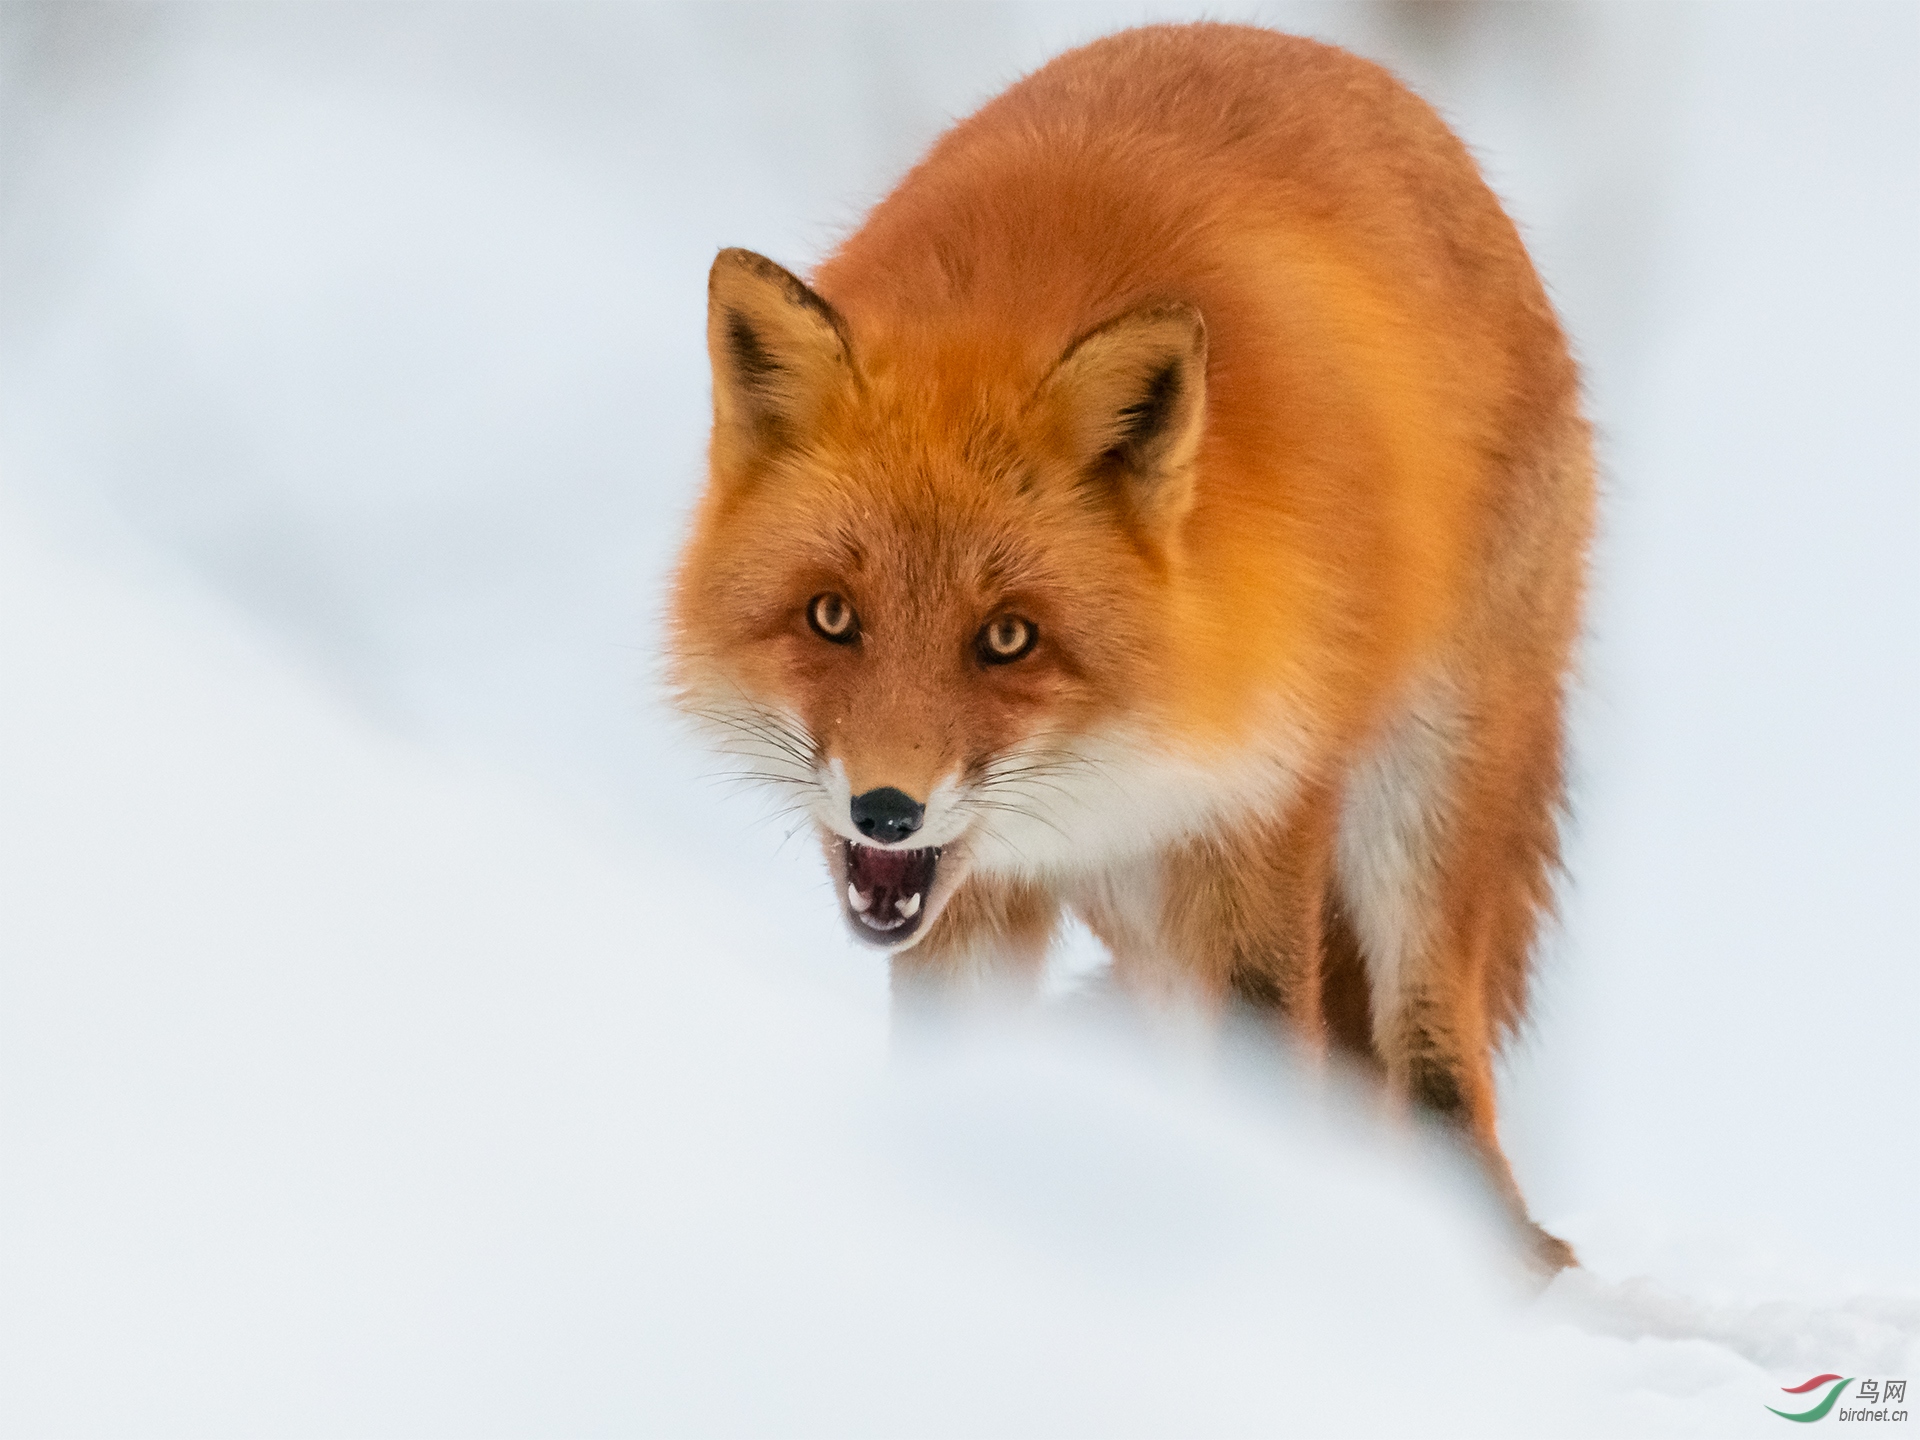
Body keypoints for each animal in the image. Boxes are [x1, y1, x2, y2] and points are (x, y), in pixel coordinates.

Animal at [668, 16, 1597, 1267]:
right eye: (831, 617)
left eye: (1009, 637)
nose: (886, 811)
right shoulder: (976, 899)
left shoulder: (1260, 814)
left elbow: (1268, 1062)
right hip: (1146, 915)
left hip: (1422, 804)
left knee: (1434, 1067)